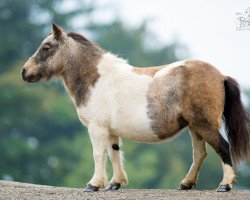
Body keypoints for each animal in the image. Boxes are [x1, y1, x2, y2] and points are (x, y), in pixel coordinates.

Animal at [21, 23, 250, 192]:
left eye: (46, 47)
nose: (24, 72)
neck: (96, 78)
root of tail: (220, 76)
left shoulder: (97, 128)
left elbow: (98, 154)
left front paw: (93, 184)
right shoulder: (111, 131)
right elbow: (114, 153)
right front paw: (114, 183)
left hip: (205, 125)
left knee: (223, 147)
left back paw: (225, 185)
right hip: (195, 127)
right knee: (199, 154)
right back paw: (186, 184)